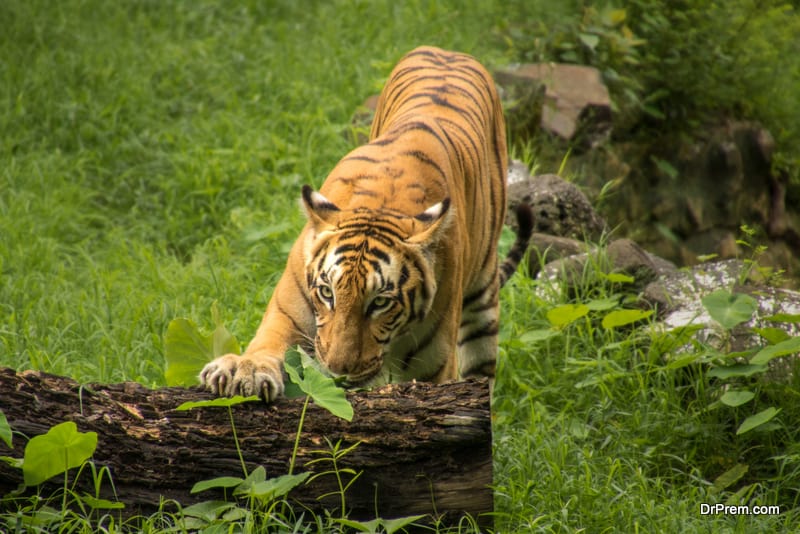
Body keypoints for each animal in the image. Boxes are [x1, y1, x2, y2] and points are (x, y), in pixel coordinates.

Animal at [202, 46, 532, 400]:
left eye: (381, 302)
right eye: (327, 293)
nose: (338, 370)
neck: (381, 204)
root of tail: (447, 51)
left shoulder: (435, 365)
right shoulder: (287, 313)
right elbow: (267, 344)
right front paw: (243, 370)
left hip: (483, 301)